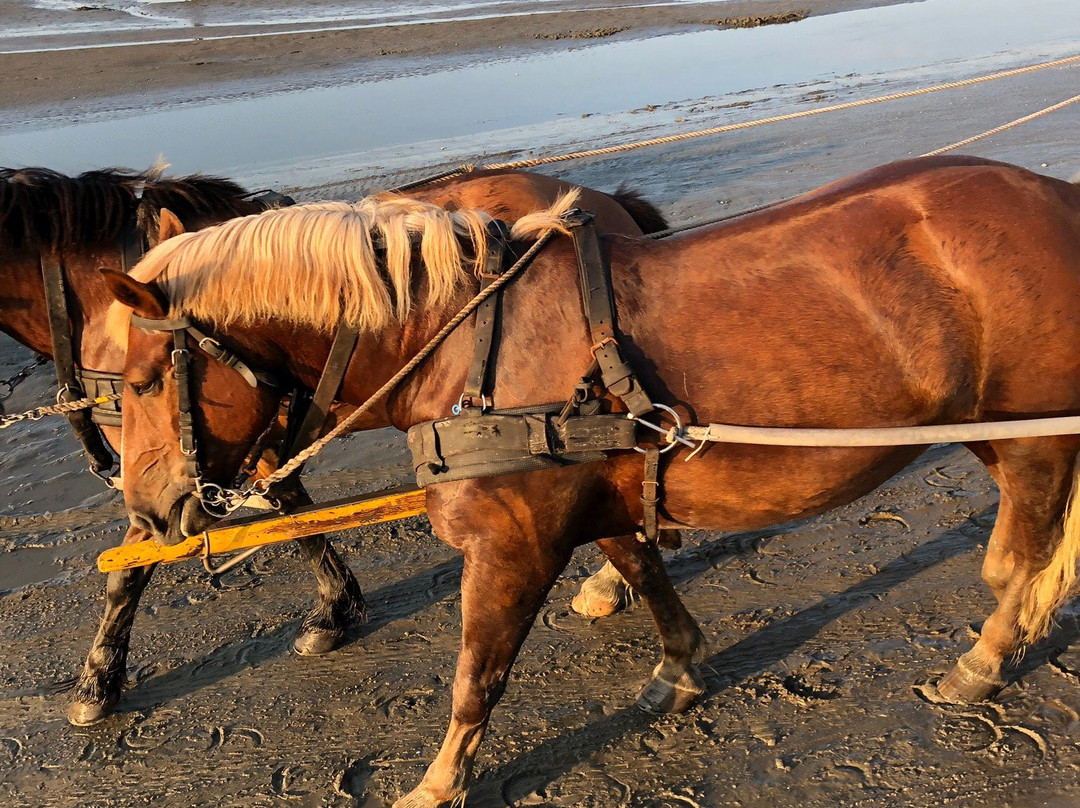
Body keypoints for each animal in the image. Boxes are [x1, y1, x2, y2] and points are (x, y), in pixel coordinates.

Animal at [0, 162, 660, 725]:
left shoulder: (174, 465)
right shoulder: (230, 453)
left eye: (144, 383)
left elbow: (134, 564)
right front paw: (337, 606)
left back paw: (611, 580)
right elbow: (294, 517)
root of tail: (605, 200)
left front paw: (97, 680)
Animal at [103, 154, 1080, 803]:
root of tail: (1058, 198)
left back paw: (987, 658)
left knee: (1019, 556)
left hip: (1029, 433)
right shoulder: (595, 494)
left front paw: (440, 782)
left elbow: (477, 674)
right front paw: (678, 666)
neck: (465, 342)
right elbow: (644, 572)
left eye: (145, 381)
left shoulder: (510, 543)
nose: (148, 511)